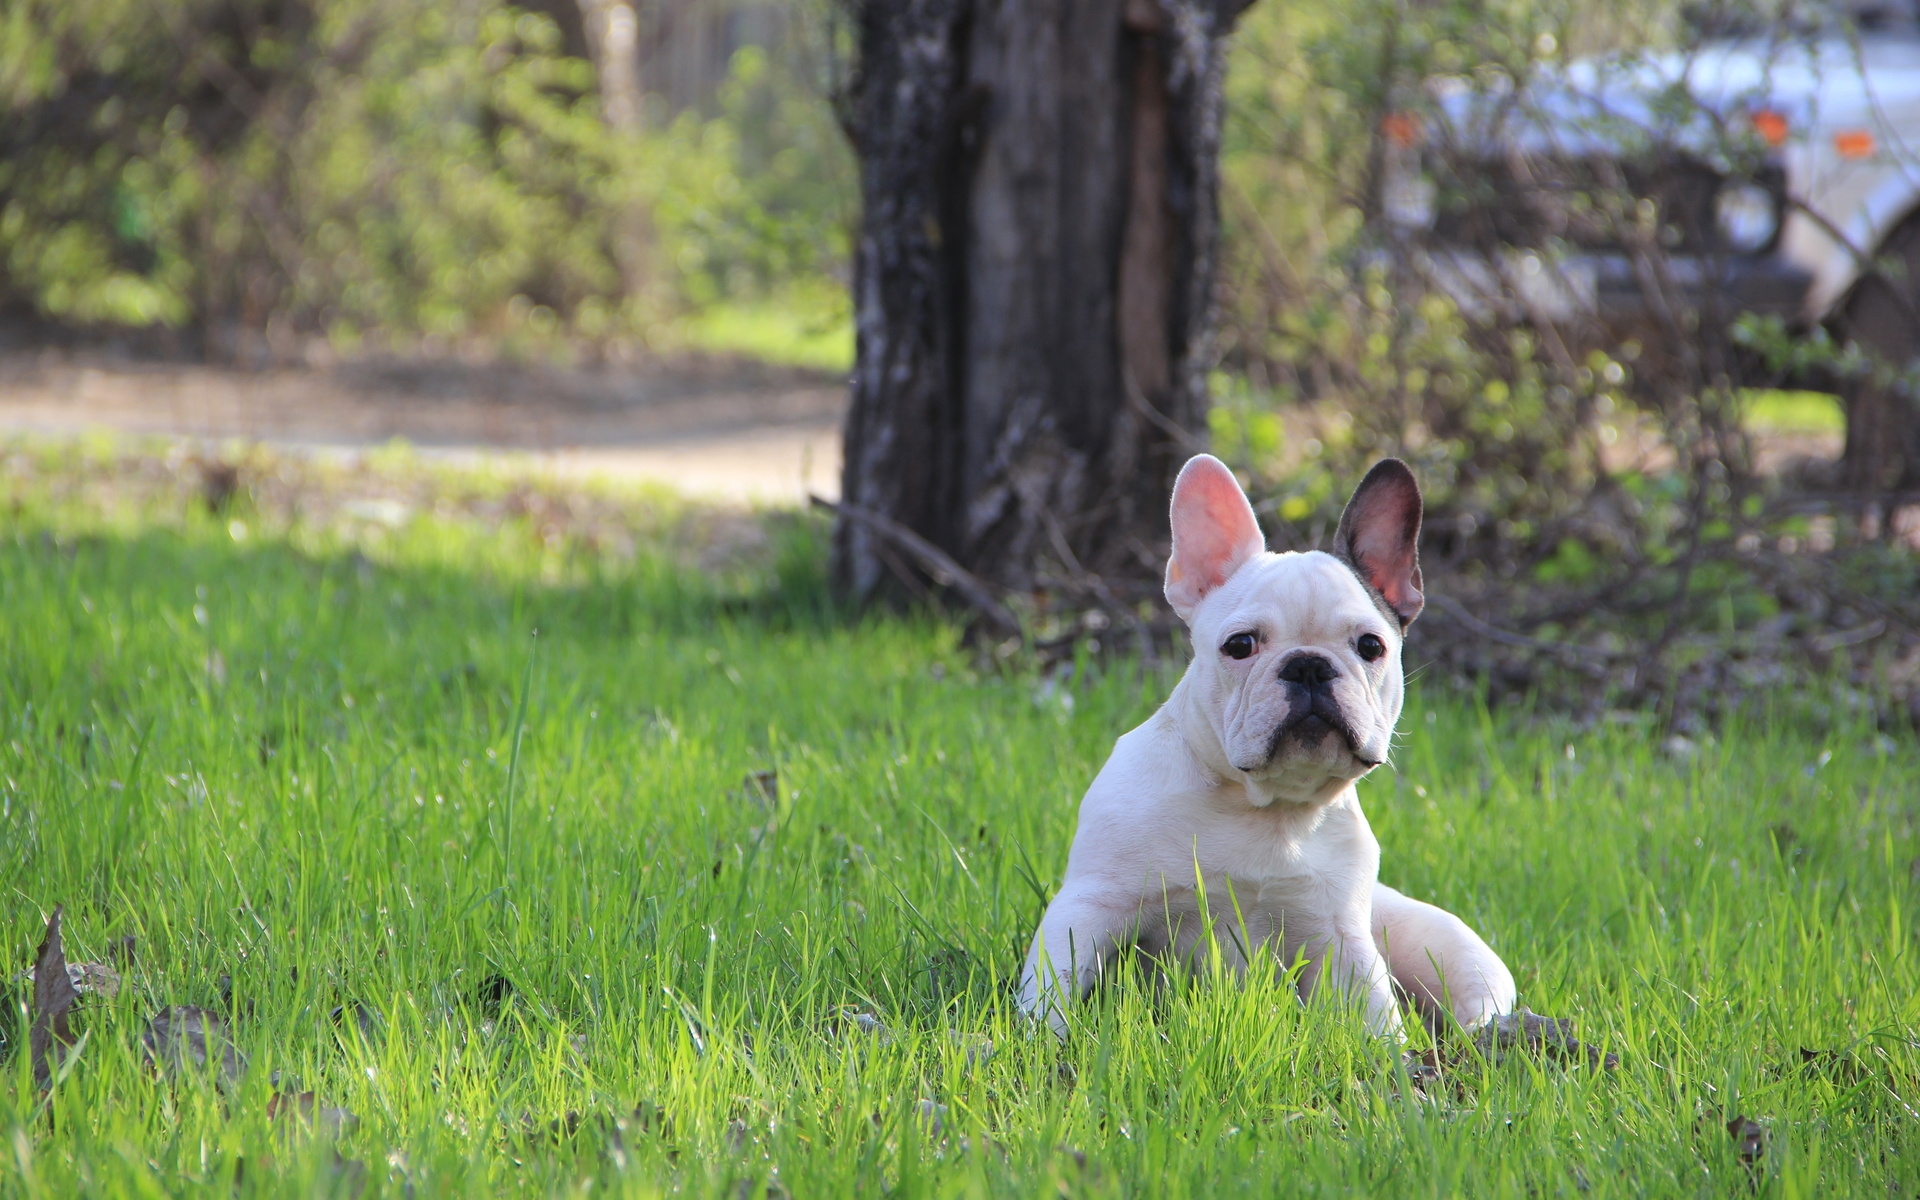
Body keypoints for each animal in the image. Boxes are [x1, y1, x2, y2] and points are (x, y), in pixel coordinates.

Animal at [1021, 453, 1512, 1036]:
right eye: (1240, 645)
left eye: (1371, 646)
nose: (1308, 665)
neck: (1264, 806)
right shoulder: (1090, 907)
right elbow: (1052, 991)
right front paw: (1039, 1043)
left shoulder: (1341, 940)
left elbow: (1374, 1018)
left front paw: (1393, 1057)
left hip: (1452, 949)